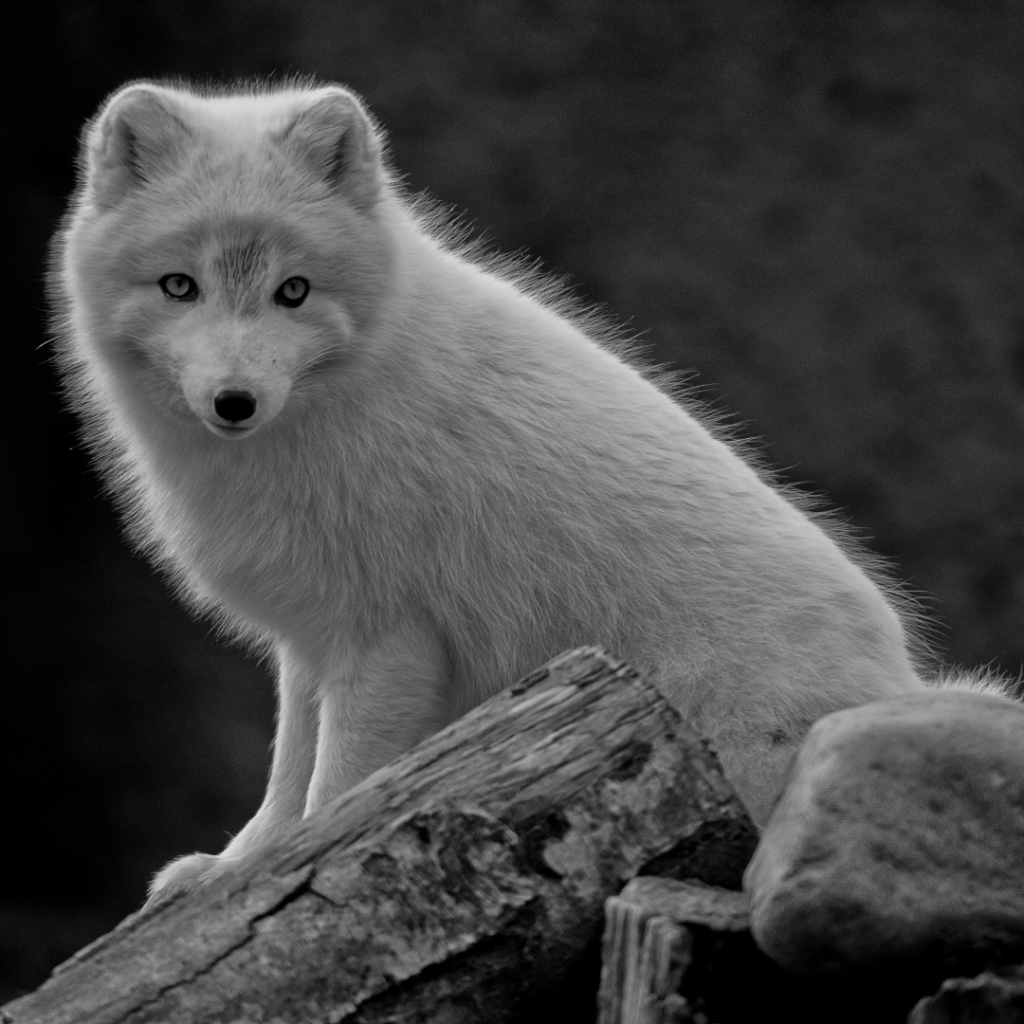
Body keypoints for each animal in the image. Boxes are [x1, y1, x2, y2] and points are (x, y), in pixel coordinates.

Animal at [51, 77, 995, 897]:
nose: (234, 402)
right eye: (181, 286)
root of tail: (898, 684)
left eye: (293, 292)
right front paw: (235, 872)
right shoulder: (309, 639)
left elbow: (332, 789)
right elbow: (287, 778)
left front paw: (286, 880)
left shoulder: (384, 639)